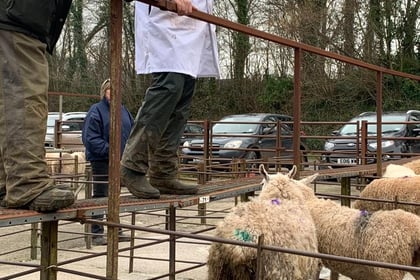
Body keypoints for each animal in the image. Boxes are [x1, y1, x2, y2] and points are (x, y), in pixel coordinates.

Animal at [260, 164, 420, 280]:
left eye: (262, 183)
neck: (310, 201)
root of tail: (414, 231)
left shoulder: (316, 262)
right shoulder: (331, 260)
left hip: (388, 271)